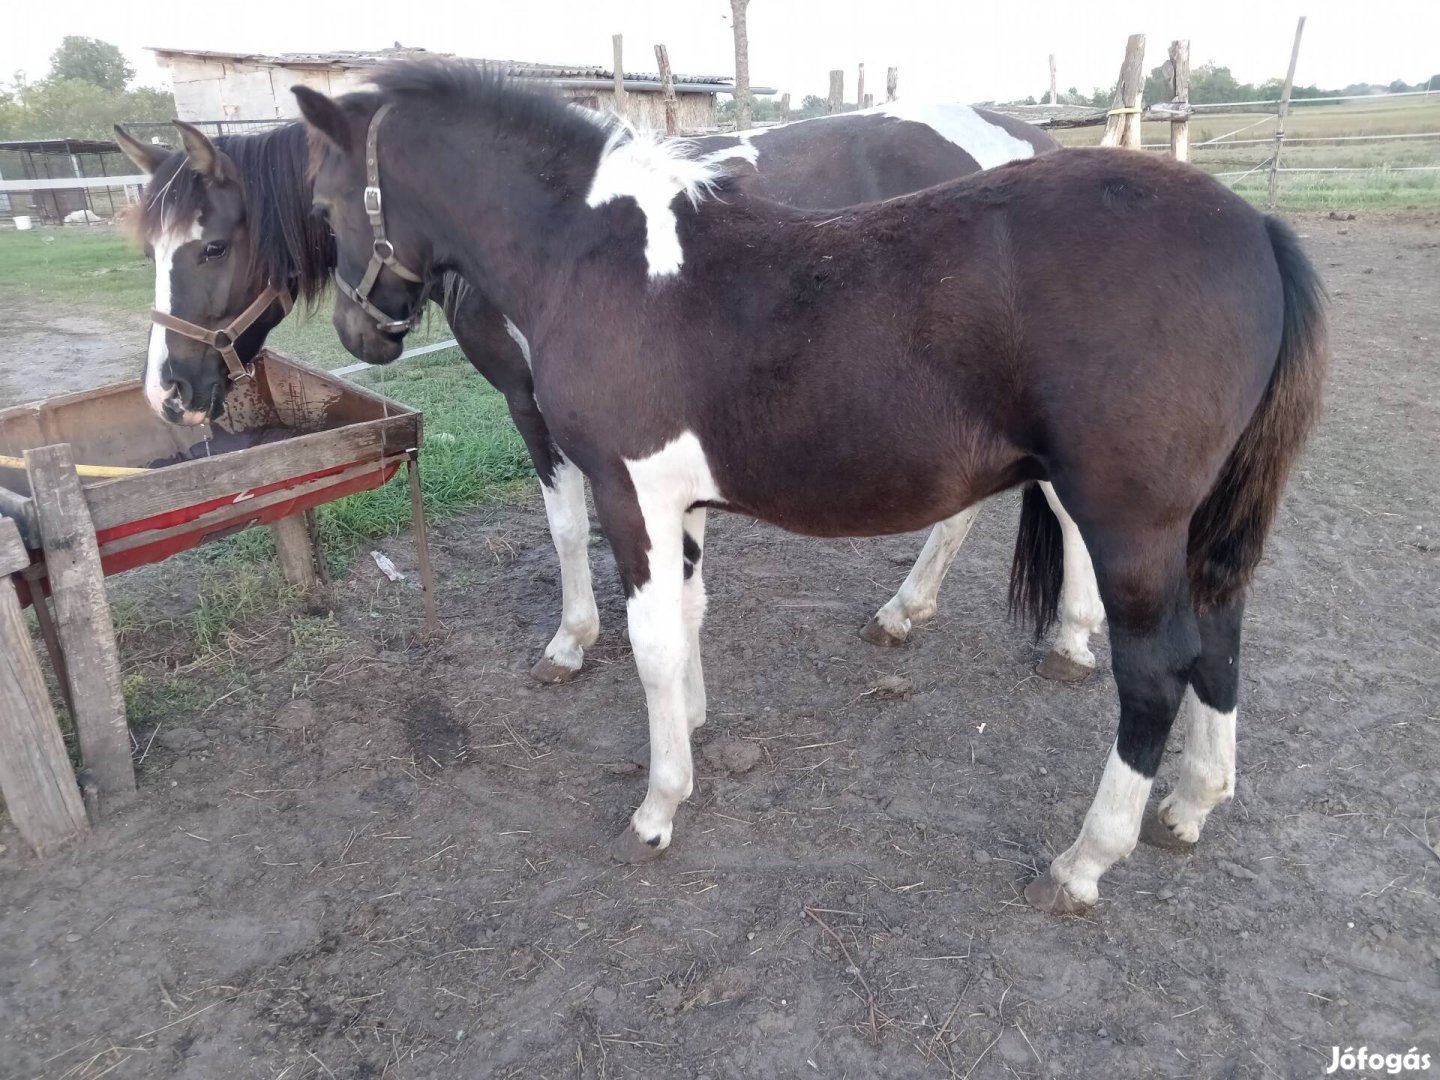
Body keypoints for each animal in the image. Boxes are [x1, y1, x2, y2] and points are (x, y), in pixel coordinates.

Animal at [118, 97, 1105, 685]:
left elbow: (564, 526)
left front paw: (573, 639)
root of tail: (1029, 137)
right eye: (146, 248)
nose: (167, 394)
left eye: (210, 245)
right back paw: (907, 611)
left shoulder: (531, 406)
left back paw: (1068, 634)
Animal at [292, 61, 1324, 915]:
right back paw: (1191, 803)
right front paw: (693, 728)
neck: (599, 256)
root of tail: (1256, 229)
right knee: (1220, 629)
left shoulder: (630, 495)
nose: (358, 331)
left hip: (1129, 519)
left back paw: (1086, 860)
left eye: (326, 201)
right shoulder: (681, 505)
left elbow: (652, 643)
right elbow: (692, 616)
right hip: (1192, 521)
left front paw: (659, 805)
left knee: (1154, 671)